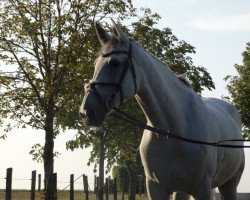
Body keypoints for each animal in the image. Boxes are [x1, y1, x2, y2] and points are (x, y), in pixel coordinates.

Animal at [80, 21, 244, 200]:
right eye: (95, 64)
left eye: (114, 63)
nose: (86, 111)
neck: (172, 131)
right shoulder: (156, 188)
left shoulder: (202, 189)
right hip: (182, 190)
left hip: (229, 185)